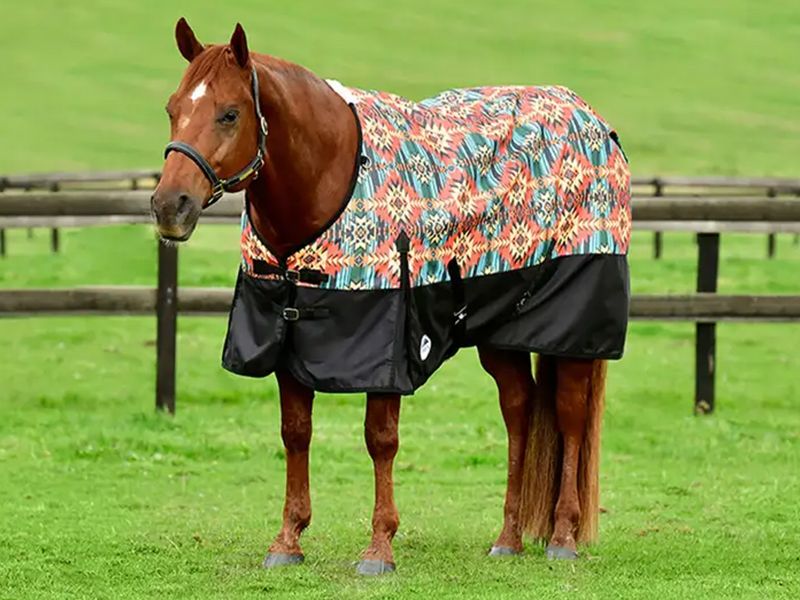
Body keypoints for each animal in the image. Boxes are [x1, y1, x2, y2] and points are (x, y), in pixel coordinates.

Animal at [151, 18, 631, 575]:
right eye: (172, 108)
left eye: (229, 113)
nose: (169, 206)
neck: (330, 178)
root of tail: (592, 119)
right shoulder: (287, 336)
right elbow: (296, 432)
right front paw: (288, 540)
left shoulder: (387, 344)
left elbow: (380, 440)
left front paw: (379, 547)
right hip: (499, 334)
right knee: (520, 409)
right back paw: (508, 537)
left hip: (572, 331)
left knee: (570, 416)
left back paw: (563, 536)